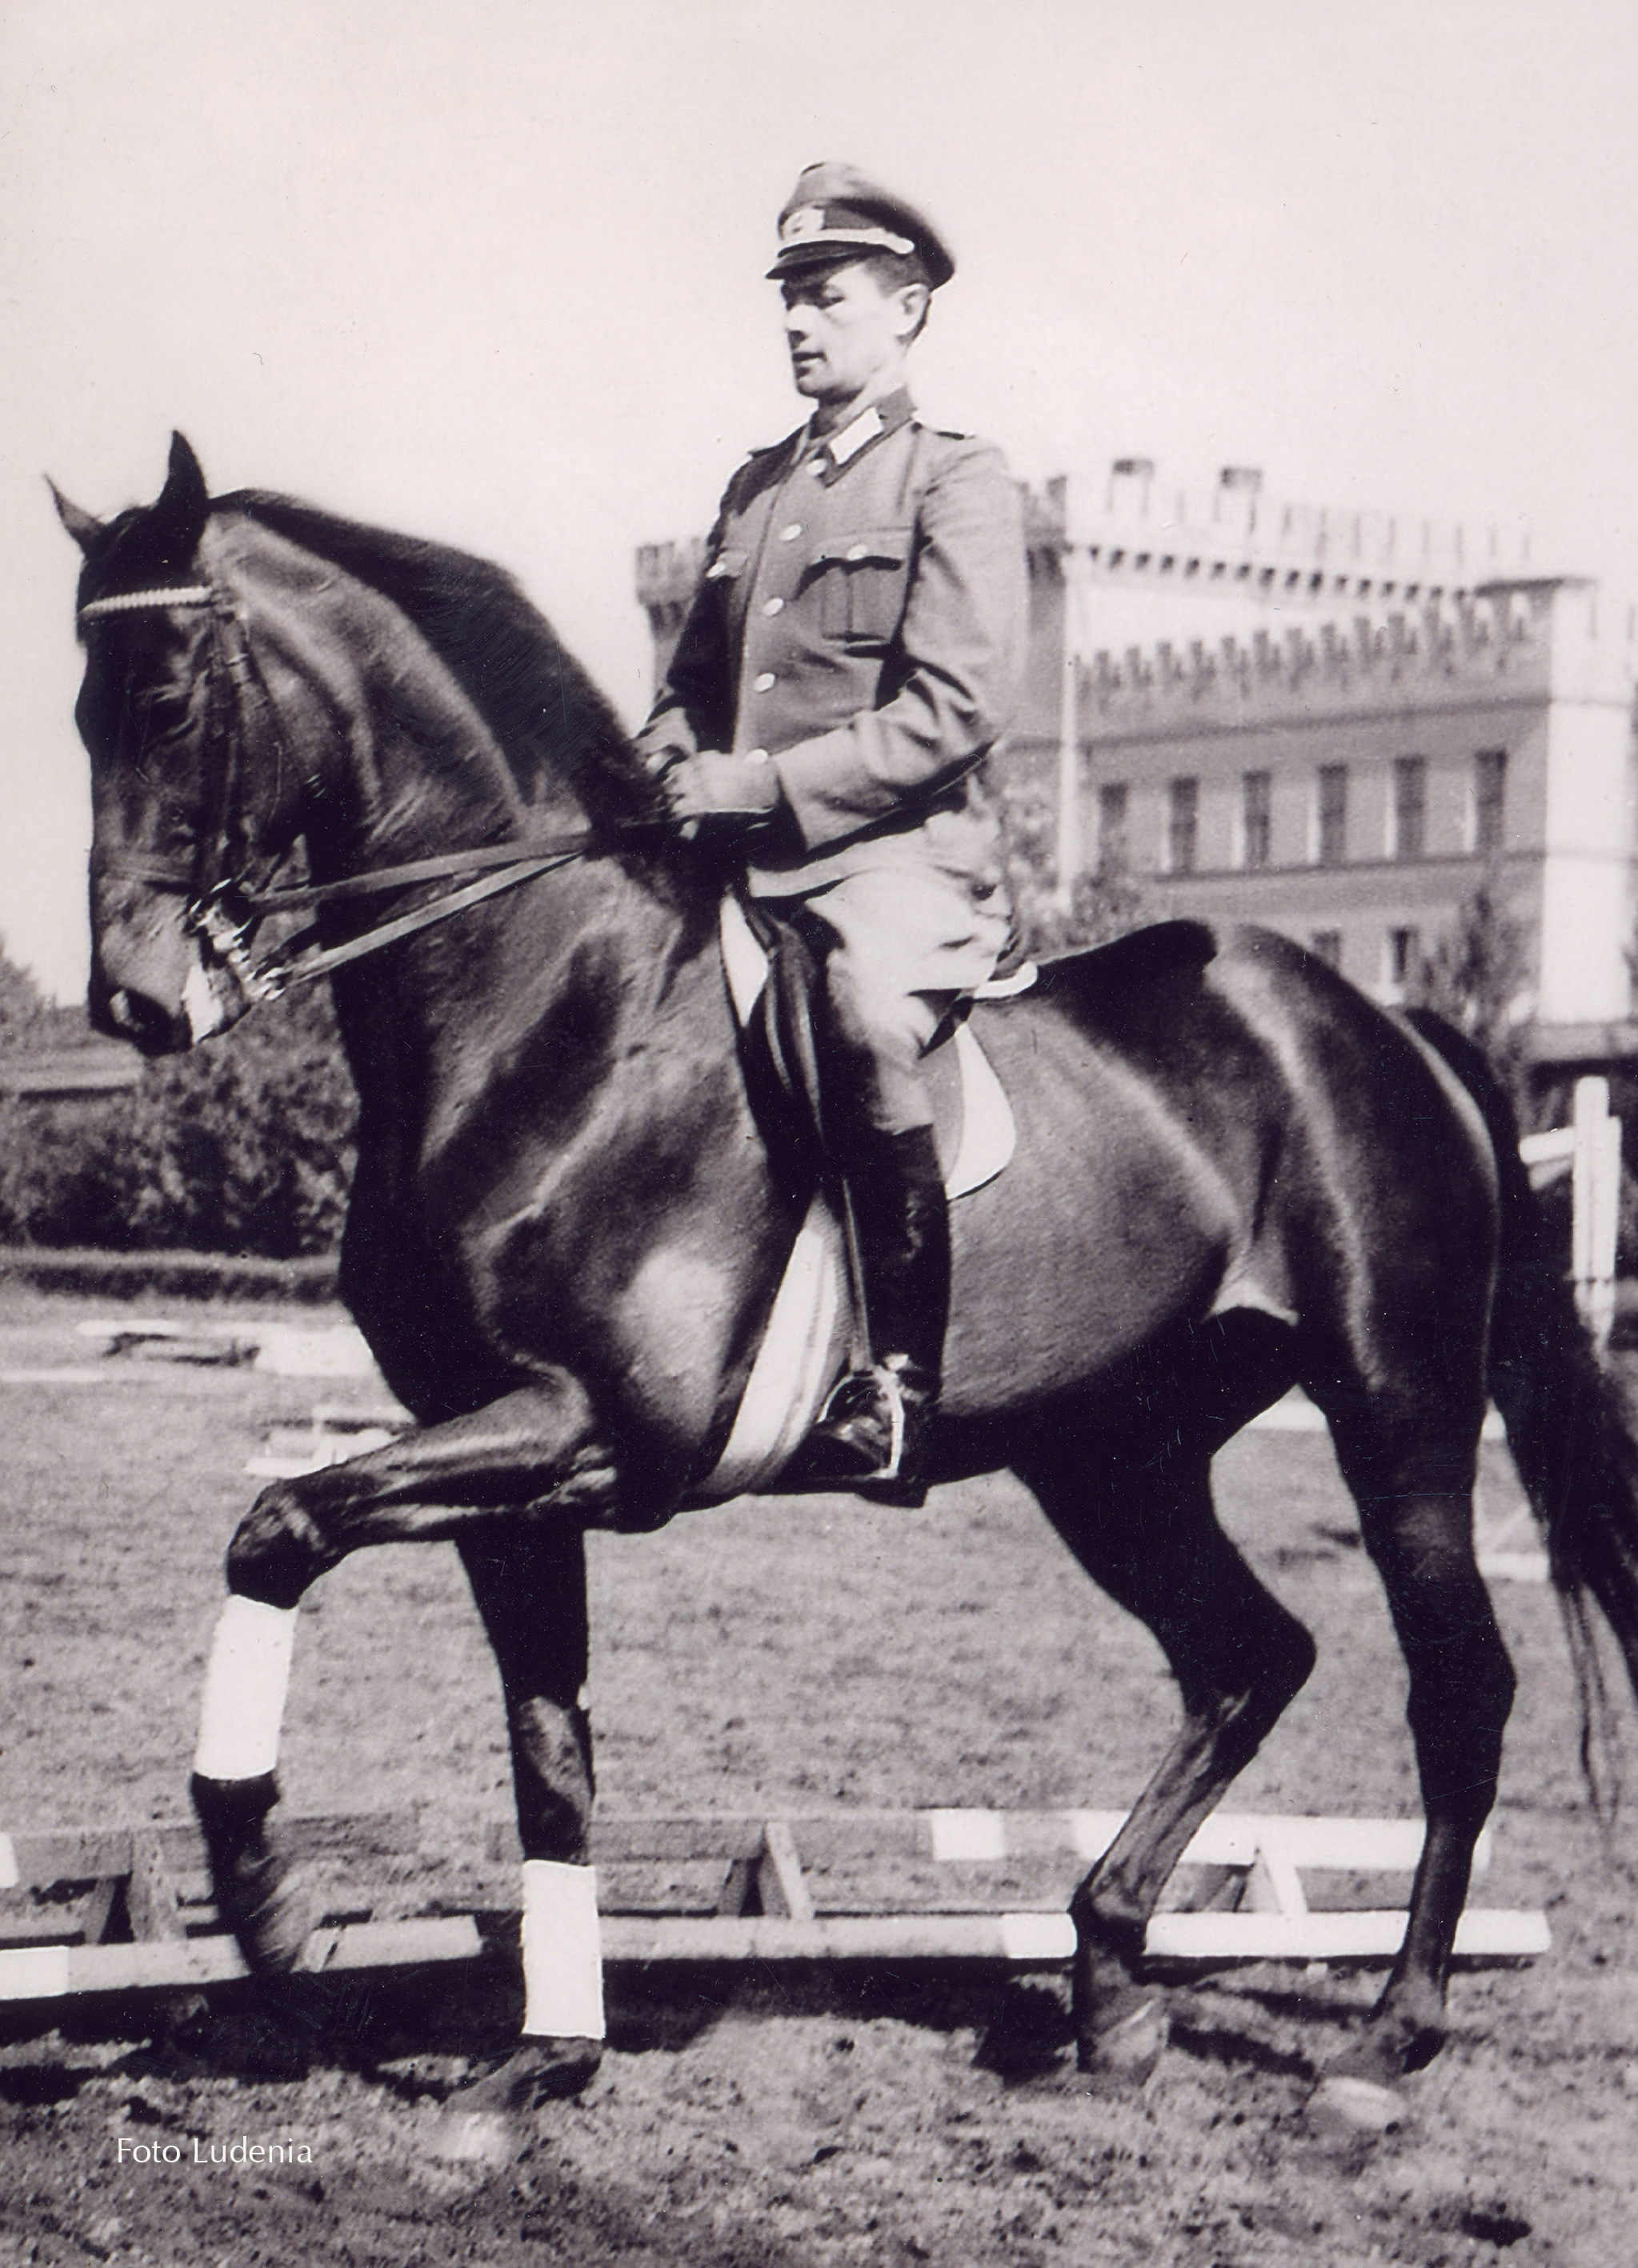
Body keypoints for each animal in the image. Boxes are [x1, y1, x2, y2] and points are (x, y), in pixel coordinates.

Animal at [57, 433, 1633, 2131]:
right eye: (78, 710)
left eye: (166, 701)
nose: (135, 1001)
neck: (548, 1006)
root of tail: (1383, 1022)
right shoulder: (495, 1455)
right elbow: (547, 1750)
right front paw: (543, 2056)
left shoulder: (594, 1430)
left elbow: (276, 1528)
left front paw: (271, 1902)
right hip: (1115, 1456)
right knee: (1248, 1658)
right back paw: (1107, 1987)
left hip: (1395, 1408)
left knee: (1455, 1685)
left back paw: (1385, 2036)